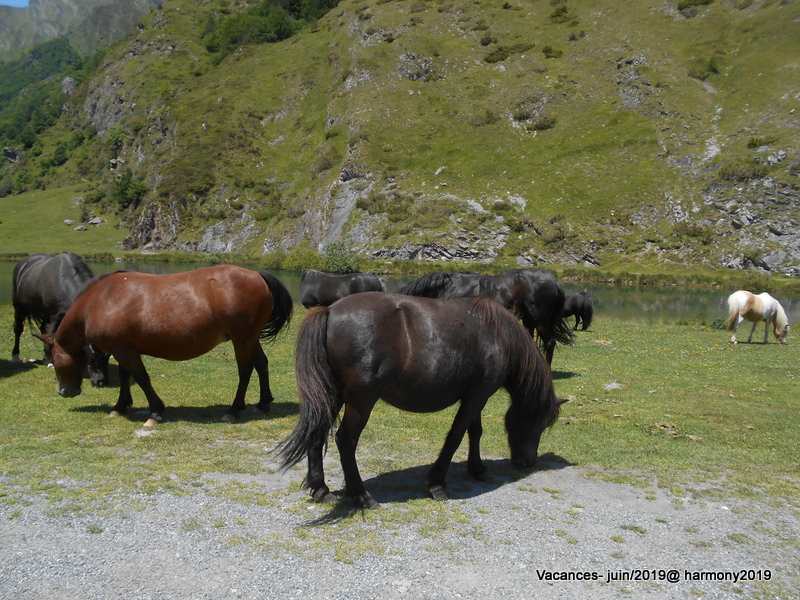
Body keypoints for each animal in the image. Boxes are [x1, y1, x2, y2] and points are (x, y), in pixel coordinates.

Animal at [10, 251, 110, 386]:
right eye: (93, 353)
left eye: (108, 354)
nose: (101, 381)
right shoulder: (54, 315)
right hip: (19, 308)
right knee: (18, 329)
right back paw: (15, 357)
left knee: (44, 330)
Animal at [38, 264, 294, 424]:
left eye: (55, 358)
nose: (63, 391)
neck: (102, 300)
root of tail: (257, 275)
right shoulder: (122, 349)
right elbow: (125, 378)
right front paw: (120, 407)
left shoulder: (125, 352)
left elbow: (142, 379)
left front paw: (156, 412)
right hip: (250, 339)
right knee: (261, 364)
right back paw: (263, 403)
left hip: (242, 340)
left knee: (246, 369)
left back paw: (233, 409)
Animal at [278, 292, 564, 508]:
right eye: (539, 423)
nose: (527, 462)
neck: (498, 335)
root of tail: (329, 310)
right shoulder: (478, 396)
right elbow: (456, 436)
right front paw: (436, 483)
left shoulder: (476, 395)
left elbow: (474, 431)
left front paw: (477, 469)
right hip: (361, 401)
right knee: (345, 440)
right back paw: (361, 496)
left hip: (332, 394)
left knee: (318, 432)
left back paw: (321, 489)